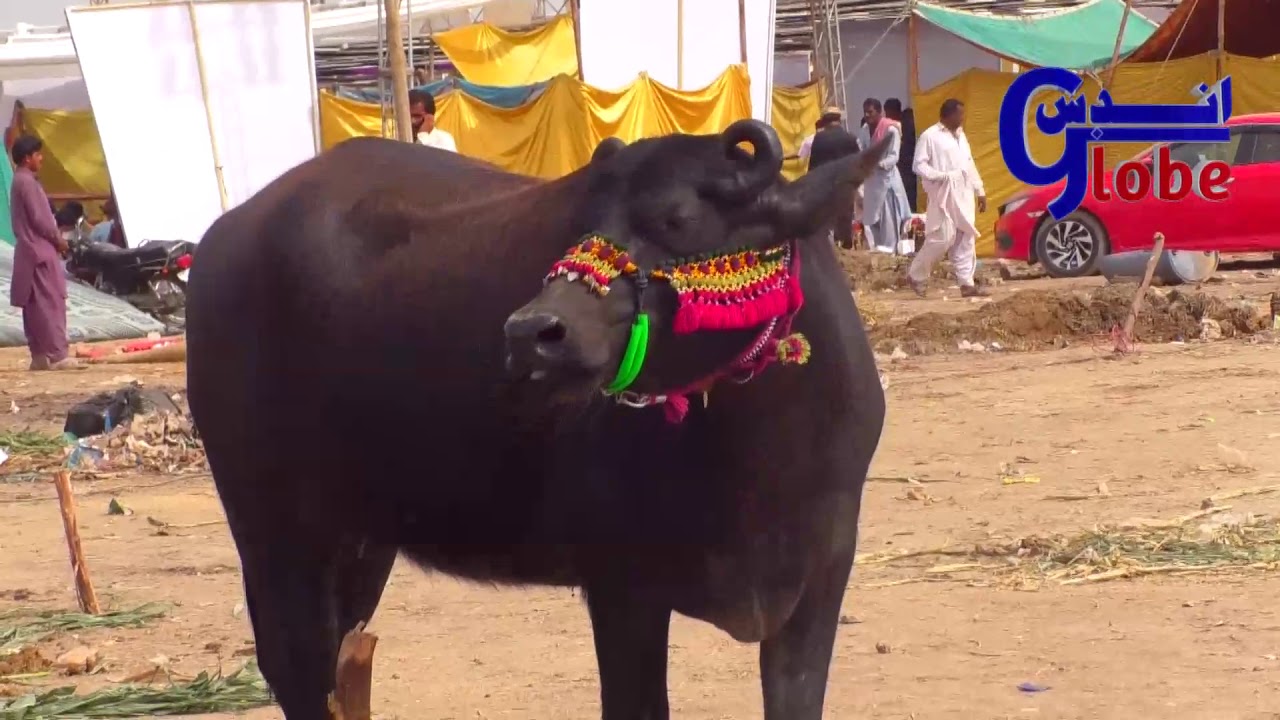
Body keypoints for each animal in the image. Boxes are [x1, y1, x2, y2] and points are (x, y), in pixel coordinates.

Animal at [186, 119, 889, 720]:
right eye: (580, 224)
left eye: (679, 219)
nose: (532, 334)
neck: (755, 446)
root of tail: (223, 236)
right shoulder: (622, 588)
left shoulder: (820, 583)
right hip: (274, 531)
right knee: (297, 668)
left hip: (360, 539)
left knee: (342, 667)